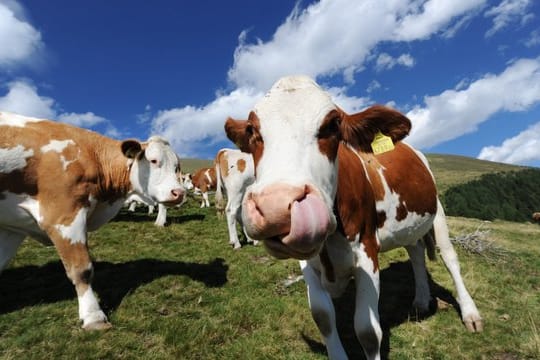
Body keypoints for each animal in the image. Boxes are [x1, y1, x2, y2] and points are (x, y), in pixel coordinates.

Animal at [0, 112, 185, 330]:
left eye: (177, 166)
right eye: (154, 160)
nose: (179, 193)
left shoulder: (14, 226)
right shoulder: (64, 215)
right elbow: (81, 269)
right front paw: (93, 316)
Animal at [226, 74, 484, 358]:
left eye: (332, 125)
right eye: (252, 131)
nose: (276, 208)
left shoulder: (367, 251)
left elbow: (368, 331)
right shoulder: (307, 262)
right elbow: (323, 317)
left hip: (437, 212)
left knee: (450, 258)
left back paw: (470, 314)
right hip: (409, 224)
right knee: (416, 253)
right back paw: (420, 301)